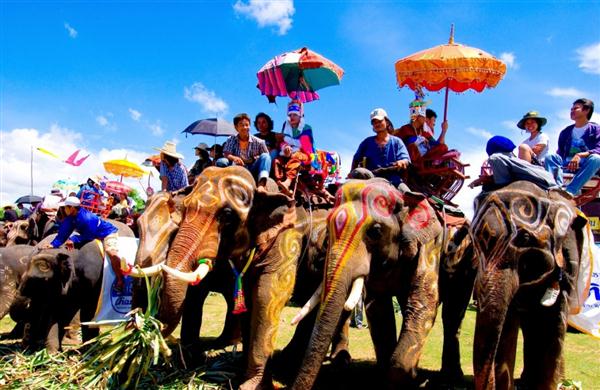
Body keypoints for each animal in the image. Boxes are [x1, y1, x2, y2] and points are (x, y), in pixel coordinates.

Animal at [17, 221, 134, 352]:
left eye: (43, 279)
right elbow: (58, 310)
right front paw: (53, 353)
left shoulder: (93, 278)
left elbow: (88, 310)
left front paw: (90, 349)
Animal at [292, 178, 476, 388]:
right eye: (329, 227)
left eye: (375, 231)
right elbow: (378, 308)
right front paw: (388, 376)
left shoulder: (430, 244)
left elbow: (424, 302)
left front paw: (407, 378)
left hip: (467, 259)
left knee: (453, 313)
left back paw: (452, 377)